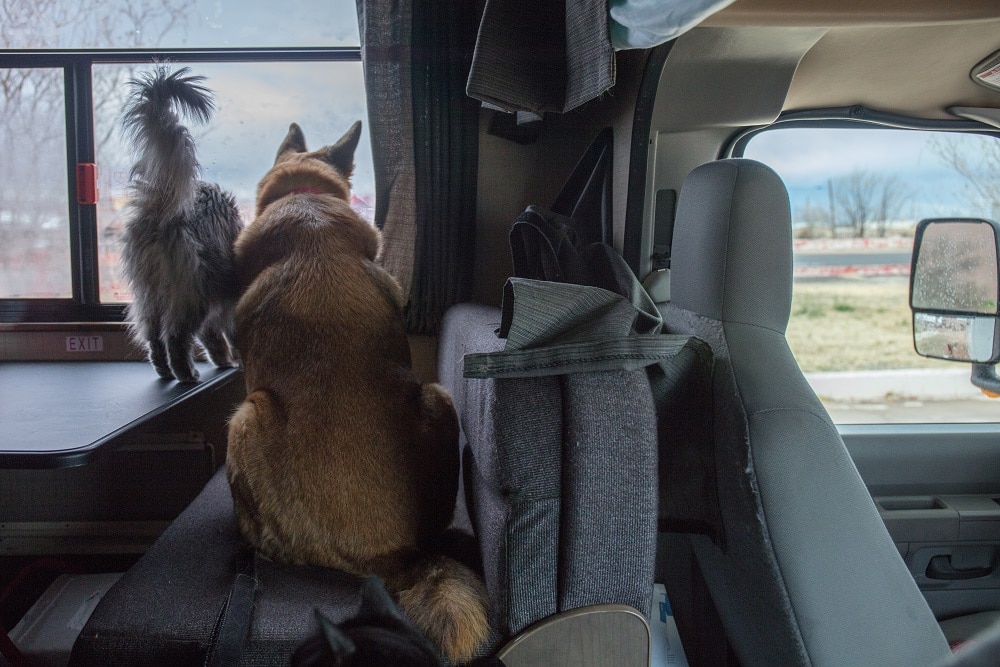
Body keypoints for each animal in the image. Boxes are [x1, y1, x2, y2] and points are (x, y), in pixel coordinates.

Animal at [116, 67, 241, 384]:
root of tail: (164, 208)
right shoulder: (227, 303)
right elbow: (225, 336)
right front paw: (234, 360)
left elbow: (214, 339)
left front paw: (225, 360)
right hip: (193, 293)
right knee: (175, 336)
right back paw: (186, 374)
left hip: (150, 295)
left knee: (154, 336)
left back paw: (165, 371)